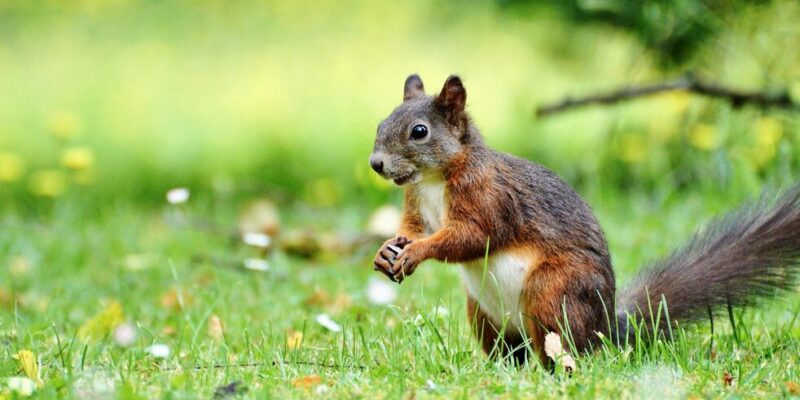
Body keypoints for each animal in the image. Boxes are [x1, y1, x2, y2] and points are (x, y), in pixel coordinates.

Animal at [369, 73, 800, 365]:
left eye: (419, 131)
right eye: (381, 124)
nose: (376, 164)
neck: (433, 181)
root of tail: (606, 329)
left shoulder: (489, 198)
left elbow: (470, 237)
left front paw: (417, 252)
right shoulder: (416, 203)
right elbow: (412, 228)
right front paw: (387, 250)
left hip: (553, 291)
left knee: (560, 345)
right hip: (483, 314)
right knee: (510, 351)